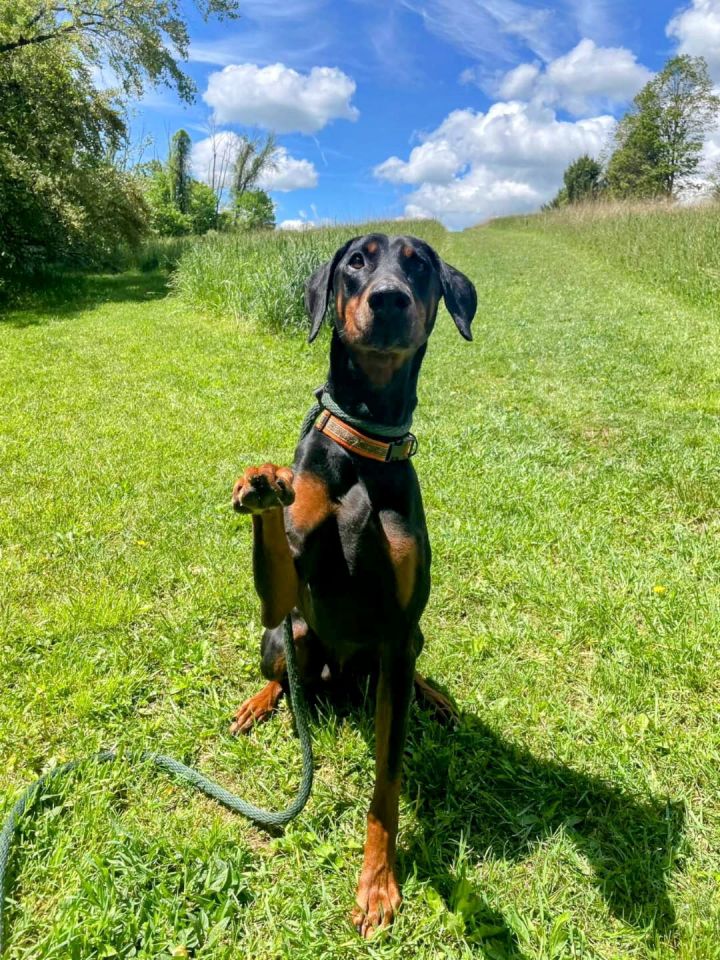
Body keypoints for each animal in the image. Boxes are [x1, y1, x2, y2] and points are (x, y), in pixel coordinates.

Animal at [232, 232, 478, 936]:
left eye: (418, 266)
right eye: (356, 262)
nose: (389, 298)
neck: (365, 442)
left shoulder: (398, 631)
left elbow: (387, 781)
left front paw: (377, 885)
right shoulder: (282, 587)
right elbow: (279, 545)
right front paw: (263, 482)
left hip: (403, 648)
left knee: (407, 670)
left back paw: (434, 697)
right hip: (282, 637)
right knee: (285, 672)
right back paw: (260, 702)